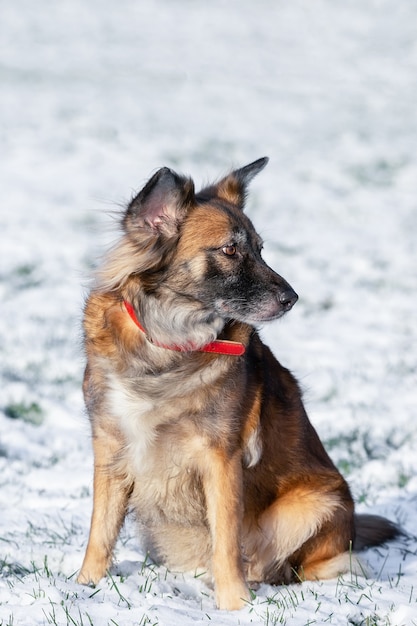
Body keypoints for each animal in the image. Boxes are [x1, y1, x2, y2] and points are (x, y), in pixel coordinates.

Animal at [76, 157, 398, 608]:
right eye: (230, 250)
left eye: (260, 249)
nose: (292, 299)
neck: (167, 346)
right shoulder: (110, 445)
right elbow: (100, 531)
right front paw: (83, 586)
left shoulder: (221, 457)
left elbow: (226, 539)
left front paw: (235, 606)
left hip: (315, 502)